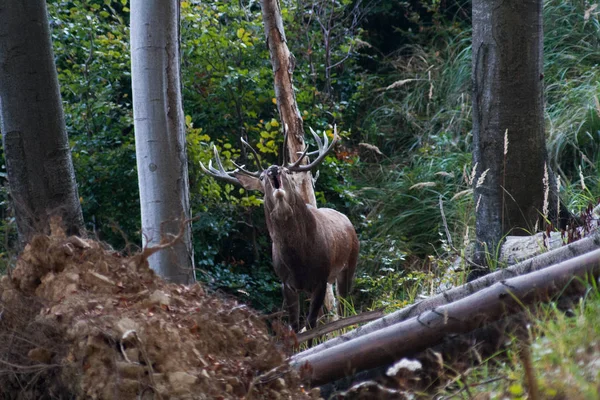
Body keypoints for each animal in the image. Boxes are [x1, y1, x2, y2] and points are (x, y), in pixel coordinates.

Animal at [199, 128, 358, 334]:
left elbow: (311, 324)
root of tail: (346, 219)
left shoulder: (321, 279)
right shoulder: (286, 283)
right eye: (261, 177)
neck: (299, 260)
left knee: (344, 305)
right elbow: (295, 325)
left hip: (349, 263)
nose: (274, 169)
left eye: (287, 171)